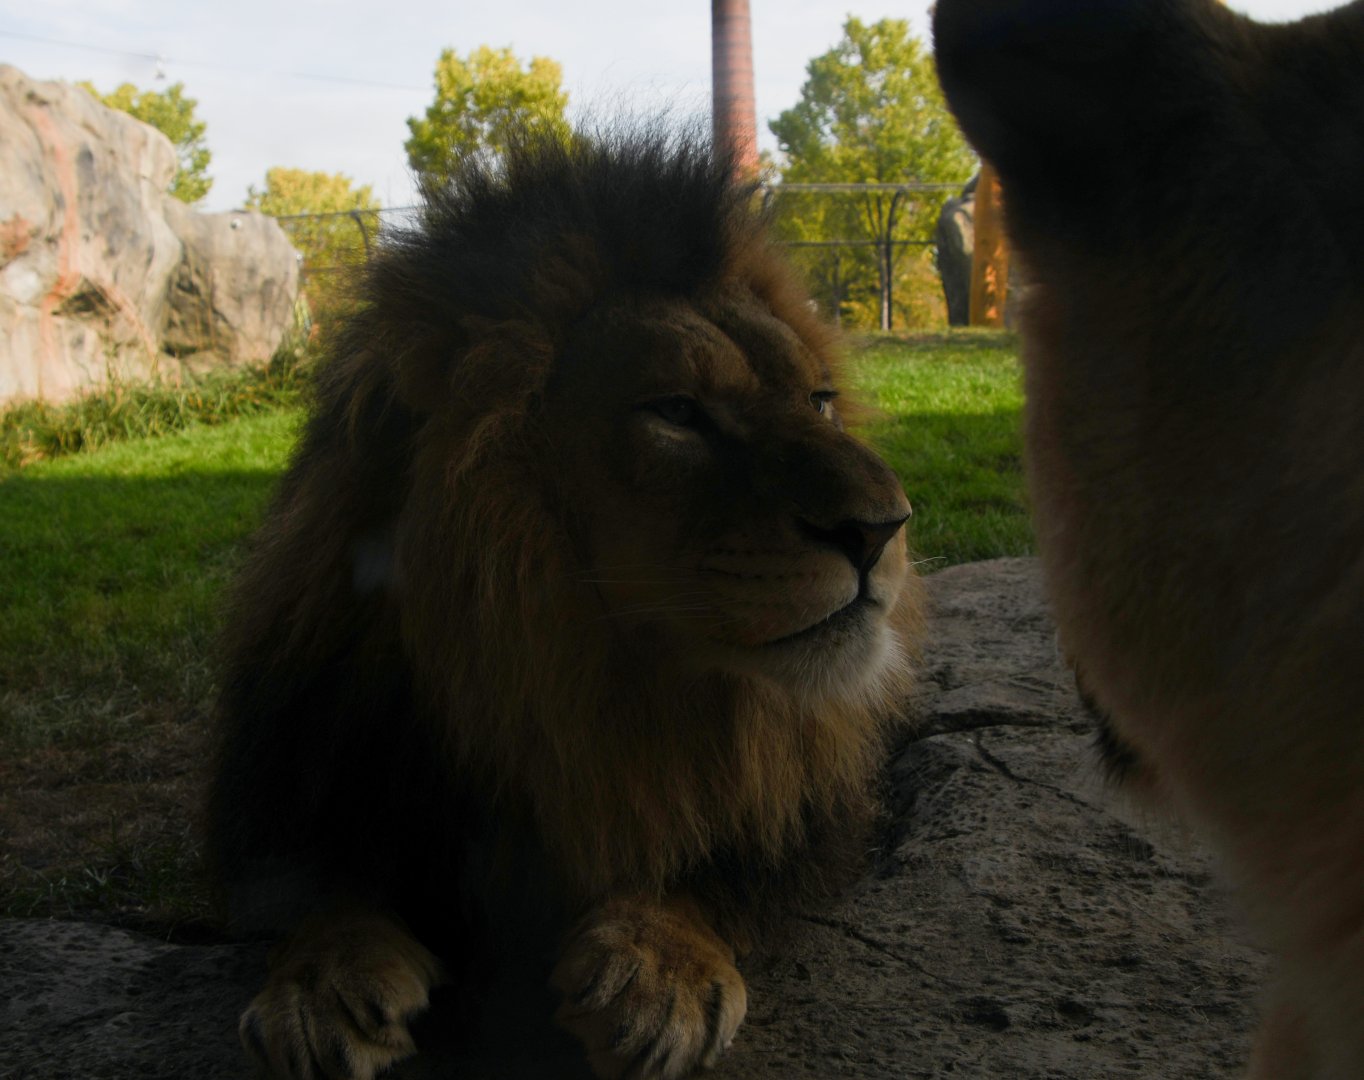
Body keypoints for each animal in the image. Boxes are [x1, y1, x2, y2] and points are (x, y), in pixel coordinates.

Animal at [205, 129, 924, 1080]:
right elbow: (323, 879)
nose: (883, 528)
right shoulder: (305, 759)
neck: (575, 682)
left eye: (821, 400)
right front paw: (322, 982)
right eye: (676, 412)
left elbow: (717, 858)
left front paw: (659, 968)